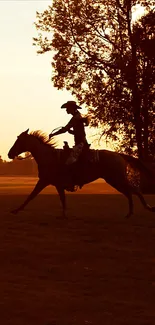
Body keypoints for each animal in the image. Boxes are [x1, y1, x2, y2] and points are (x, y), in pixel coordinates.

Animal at [7, 128, 155, 218]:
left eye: (19, 140)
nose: (9, 154)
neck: (49, 157)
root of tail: (118, 155)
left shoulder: (44, 181)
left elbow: (31, 196)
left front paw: (16, 210)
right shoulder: (57, 185)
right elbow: (62, 199)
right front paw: (64, 215)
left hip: (117, 179)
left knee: (134, 191)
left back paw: (147, 208)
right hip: (114, 180)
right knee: (129, 192)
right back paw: (130, 213)